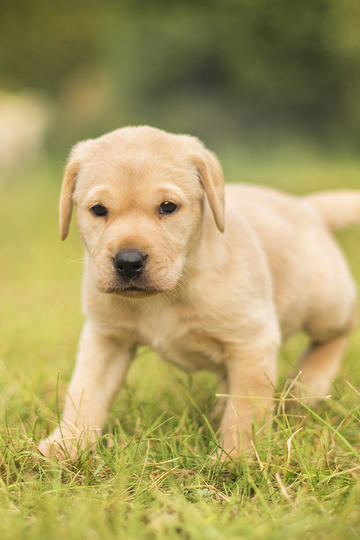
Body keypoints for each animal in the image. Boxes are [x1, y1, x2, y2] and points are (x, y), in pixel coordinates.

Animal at [38, 126, 358, 460]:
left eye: (168, 207)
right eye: (98, 210)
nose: (128, 261)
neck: (171, 289)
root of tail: (308, 207)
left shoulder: (251, 342)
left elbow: (246, 409)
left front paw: (235, 455)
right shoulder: (106, 338)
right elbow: (85, 391)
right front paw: (67, 442)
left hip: (325, 304)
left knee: (343, 324)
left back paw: (309, 385)